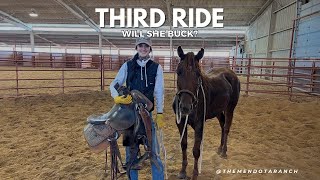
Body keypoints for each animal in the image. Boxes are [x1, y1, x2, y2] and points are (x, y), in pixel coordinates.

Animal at [172, 46, 240, 179]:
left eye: (198, 73)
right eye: (179, 71)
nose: (185, 107)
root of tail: (231, 74)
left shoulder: (199, 125)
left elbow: (196, 150)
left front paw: (195, 174)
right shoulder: (181, 123)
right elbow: (184, 145)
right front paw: (183, 171)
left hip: (230, 108)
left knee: (226, 127)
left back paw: (224, 151)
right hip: (218, 111)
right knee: (222, 125)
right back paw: (220, 148)